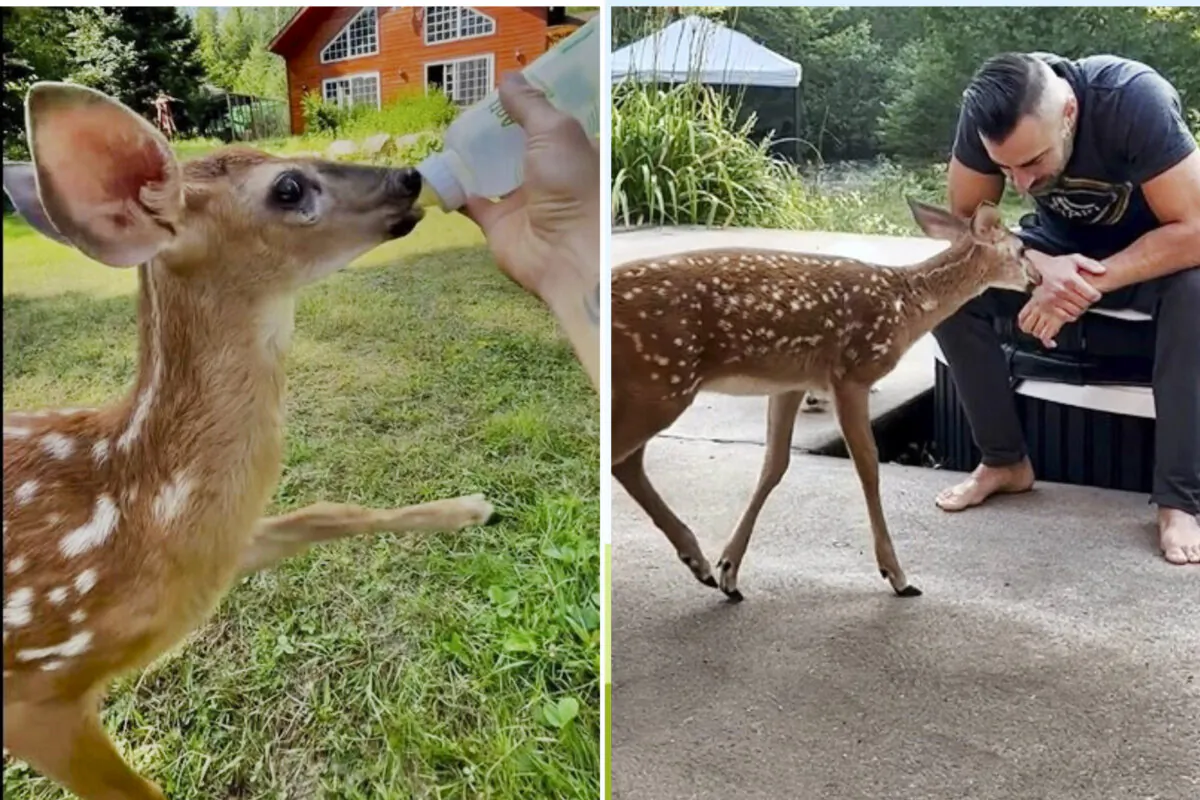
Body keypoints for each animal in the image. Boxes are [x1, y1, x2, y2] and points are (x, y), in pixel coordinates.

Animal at [2, 82, 497, 799]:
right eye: (287, 187)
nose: (408, 177)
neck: (136, 507)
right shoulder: (35, 694)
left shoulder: (220, 551)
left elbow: (326, 511)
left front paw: (470, 508)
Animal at [611, 198, 1034, 602]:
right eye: (1022, 249)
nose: (1038, 280)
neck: (903, 307)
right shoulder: (851, 374)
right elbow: (868, 466)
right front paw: (897, 576)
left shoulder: (791, 382)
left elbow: (774, 465)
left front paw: (730, 571)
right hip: (662, 381)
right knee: (622, 457)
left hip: (653, 387)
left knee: (628, 463)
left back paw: (698, 564)